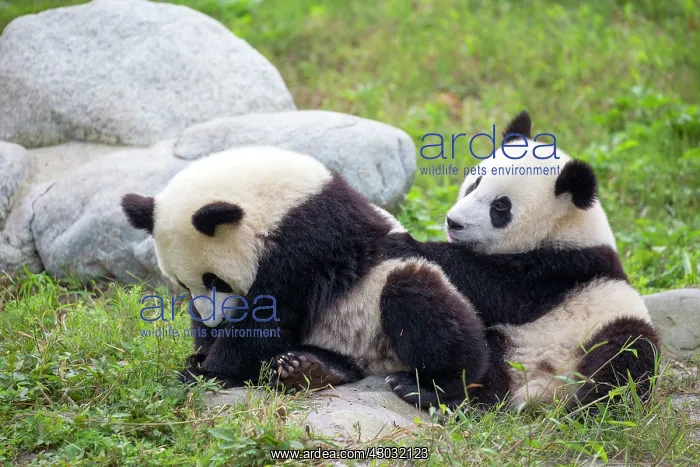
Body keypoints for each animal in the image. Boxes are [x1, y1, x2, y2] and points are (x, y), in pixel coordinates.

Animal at [120, 146, 489, 390]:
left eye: (216, 281)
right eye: (183, 284)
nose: (216, 321)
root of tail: (375, 362)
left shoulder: (309, 242)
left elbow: (269, 317)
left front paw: (209, 371)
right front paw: (200, 355)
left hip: (381, 294)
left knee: (419, 300)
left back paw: (433, 385)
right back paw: (311, 369)